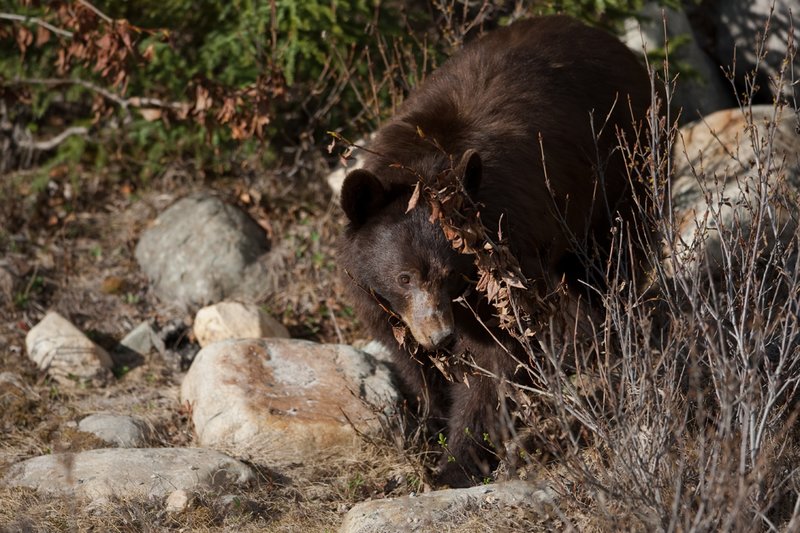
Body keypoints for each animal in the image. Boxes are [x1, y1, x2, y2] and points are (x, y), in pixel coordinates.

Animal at [337, 15, 656, 487]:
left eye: (451, 275)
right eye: (404, 277)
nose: (441, 337)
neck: (422, 169)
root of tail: (605, 36)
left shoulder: (503, 268)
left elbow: (497, 360)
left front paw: (456, 462)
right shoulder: (380, 301)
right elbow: (411, 361)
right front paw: (428, 426)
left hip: (623, 167)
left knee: (616, 260)